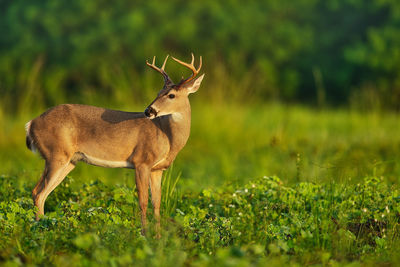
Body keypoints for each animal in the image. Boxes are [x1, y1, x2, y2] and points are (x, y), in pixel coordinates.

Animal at [25, 54, 203, 237]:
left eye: (171, 95)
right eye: (158, 92)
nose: (148, 111)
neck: (166, 135)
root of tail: (31, 124)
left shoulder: (157, 169)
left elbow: (157, 203)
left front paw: (159, 237)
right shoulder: (142, 161)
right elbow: (143, 202)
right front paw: (145, 235)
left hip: (69, 161)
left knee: (39, 193)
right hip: (56, 154)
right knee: (38, 193)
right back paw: (40, 230)